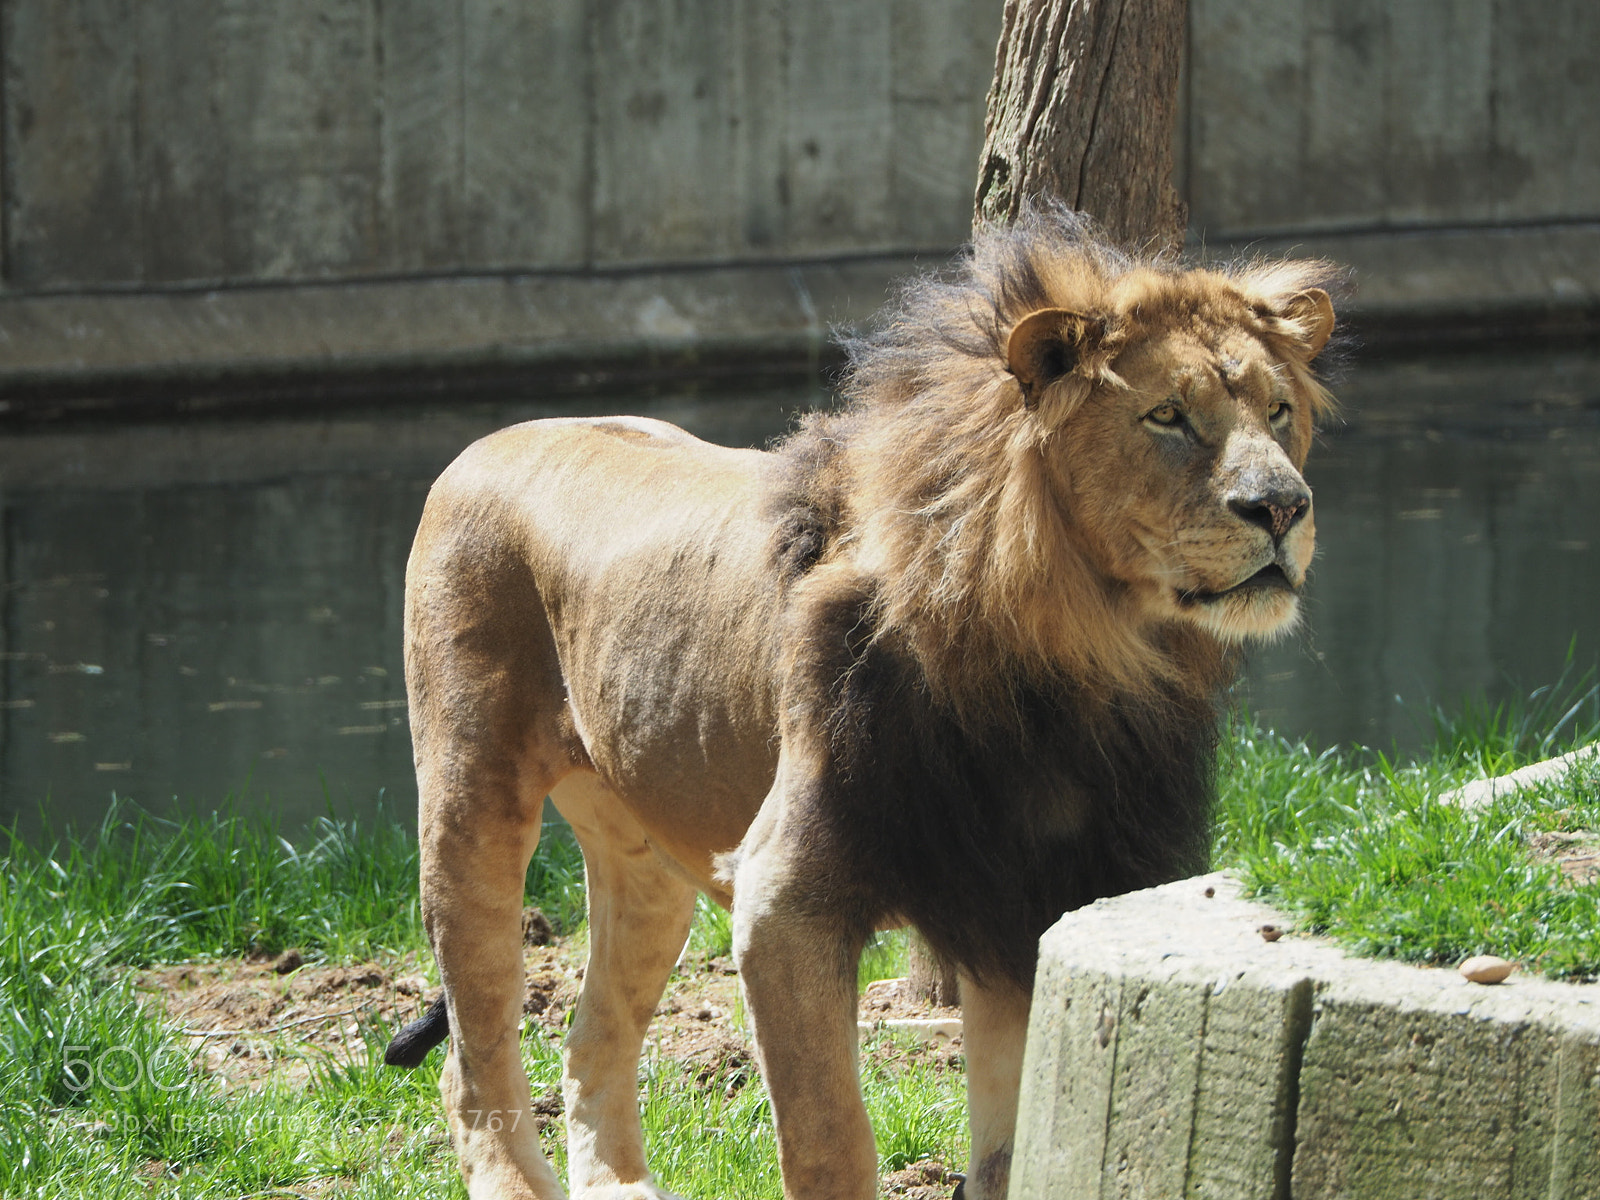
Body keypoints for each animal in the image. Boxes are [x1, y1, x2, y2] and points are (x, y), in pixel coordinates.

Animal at [382, 206, 1338, 1200]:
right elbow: (832, 1140)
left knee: (589, 1041)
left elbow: (1007, 1152)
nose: (1283, 507)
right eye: (1167, 416)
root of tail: (492, 440)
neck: (1079, 662)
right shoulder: (784, 898)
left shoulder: (1030, 898)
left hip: (643, 856)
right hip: (469, 805)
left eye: (1277, 410)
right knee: (476, 1057)